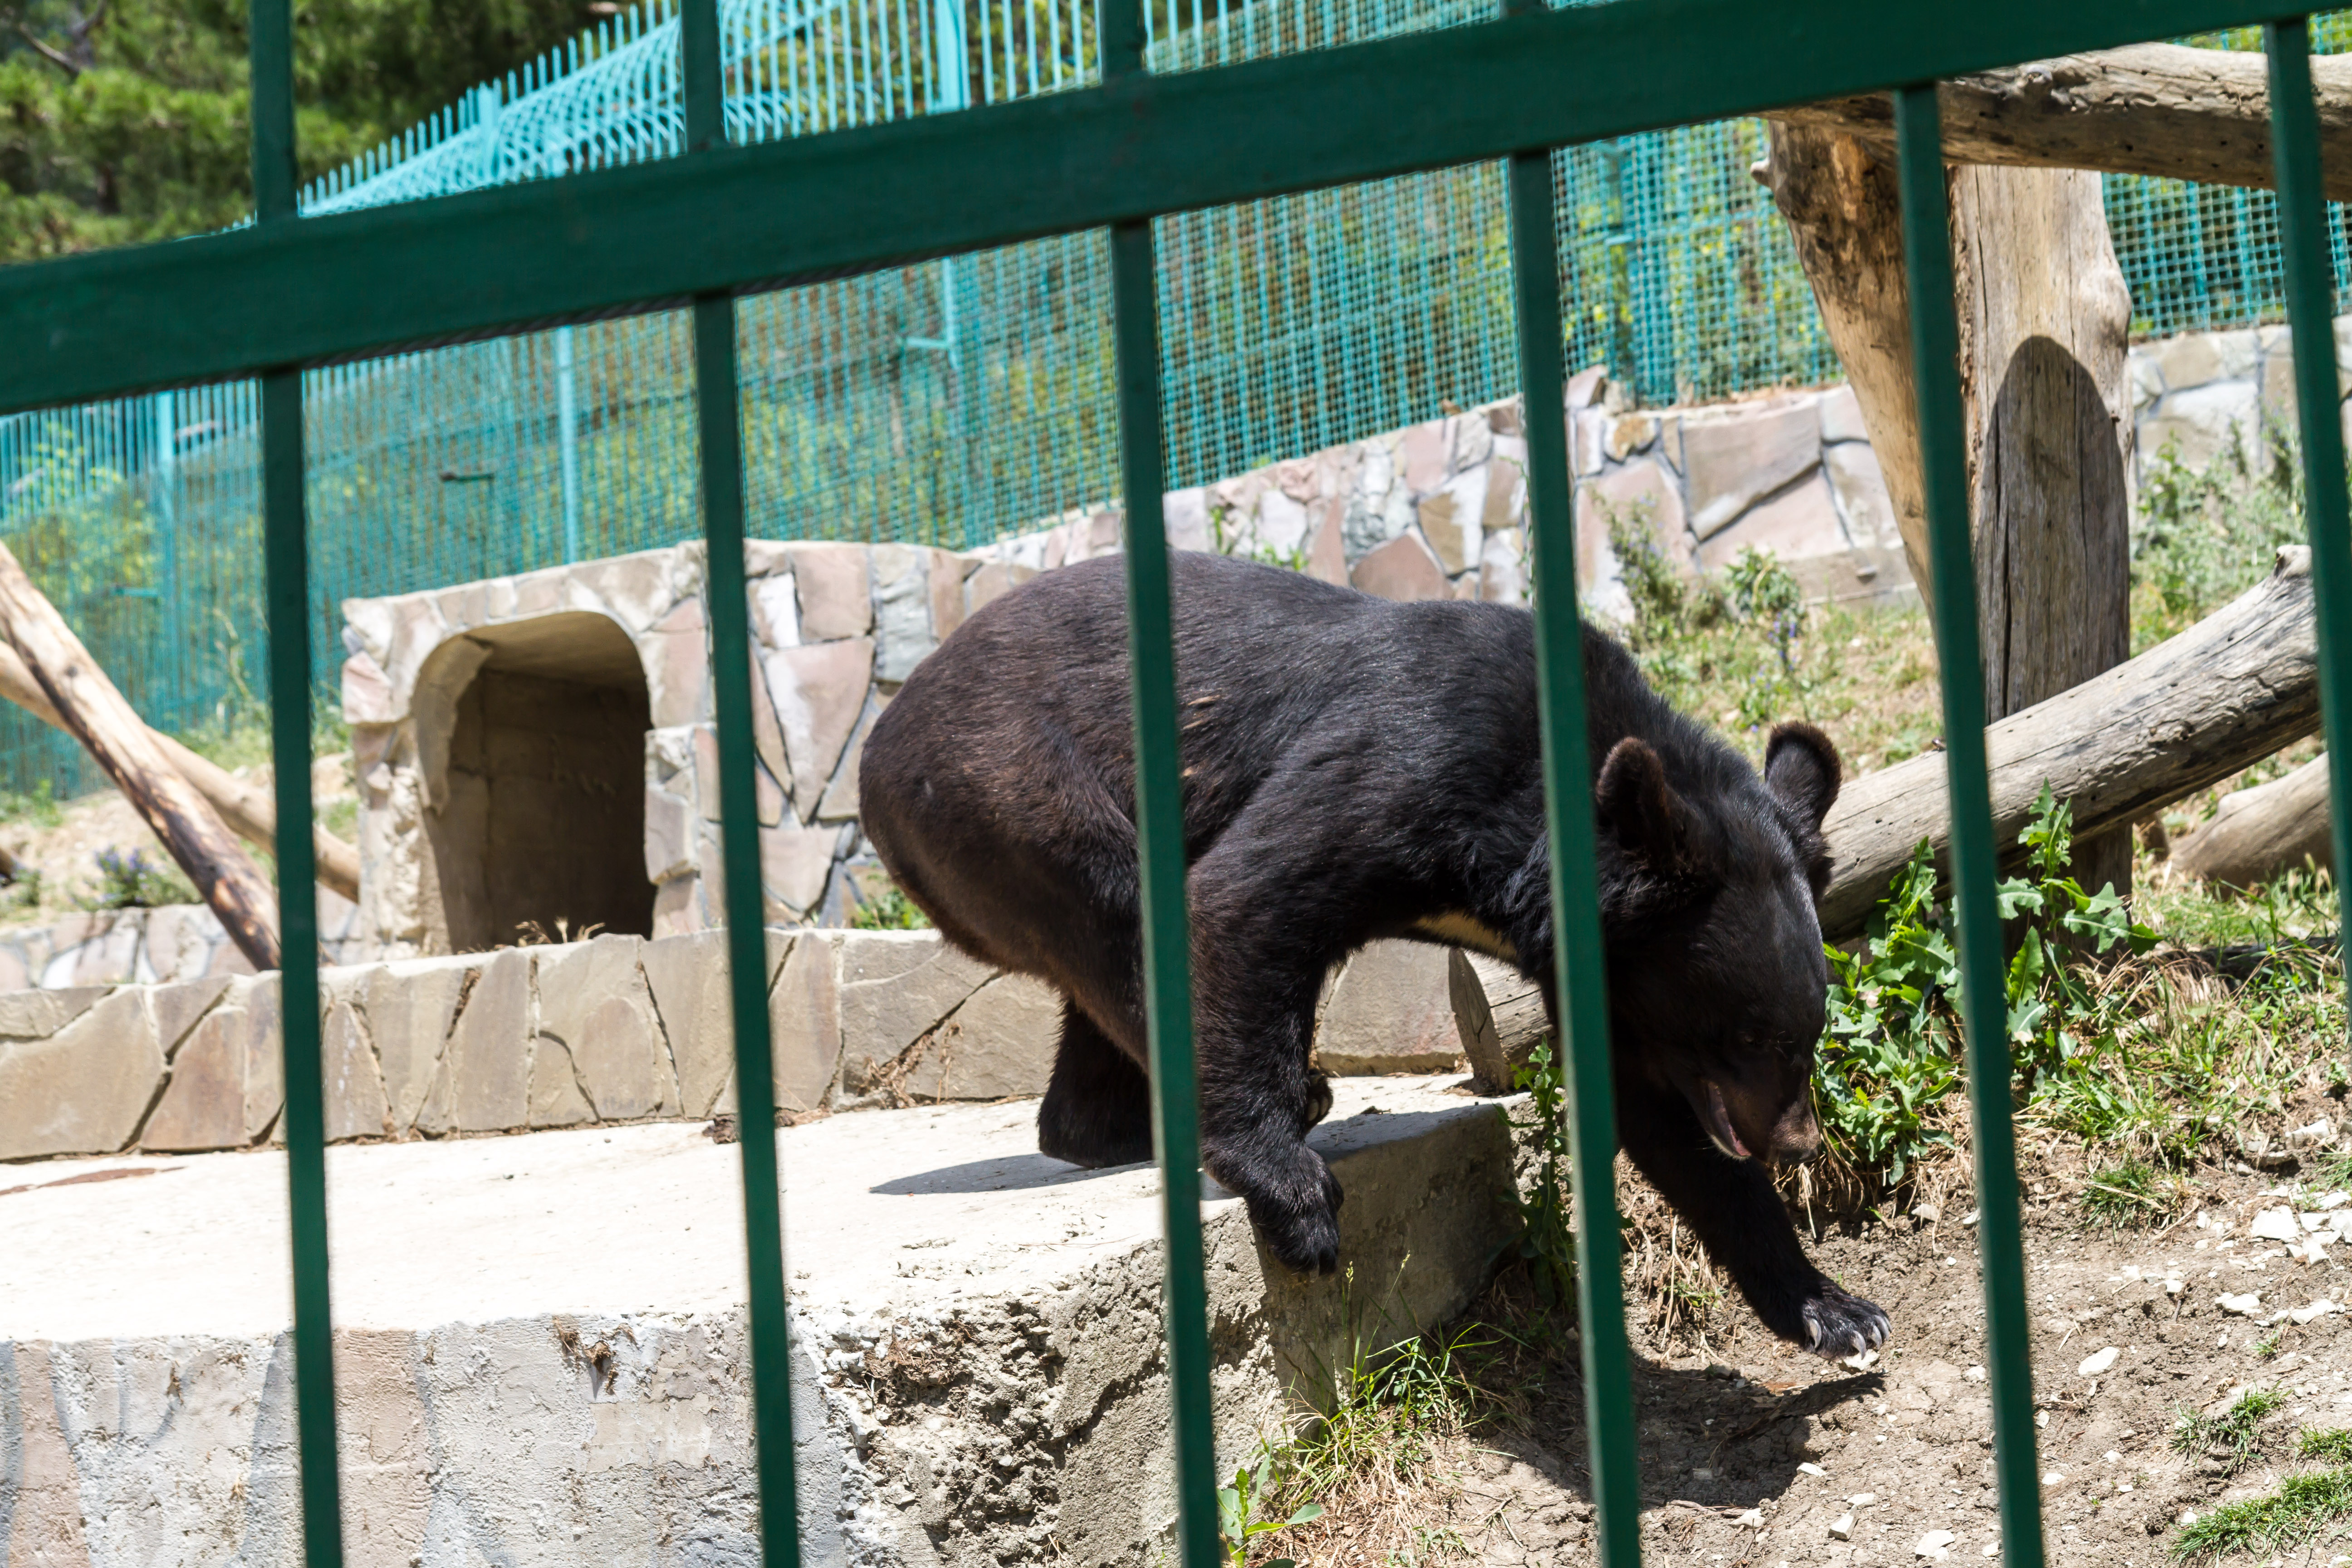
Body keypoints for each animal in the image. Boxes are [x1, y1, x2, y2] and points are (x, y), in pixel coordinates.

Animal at [865, 552, 1891, 1363]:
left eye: (1804, 1034)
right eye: (1747, 1034)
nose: (1796, 1142)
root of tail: (876, 755)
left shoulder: (1612, 962)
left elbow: (1657, 1115)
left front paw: (1839, 1313)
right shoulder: (1418, 753)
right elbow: (1244, 895)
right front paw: (1296, 1202)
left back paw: (1108, 1131)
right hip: (1014, 789)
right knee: (1126, 926)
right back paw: (1290, 1101)